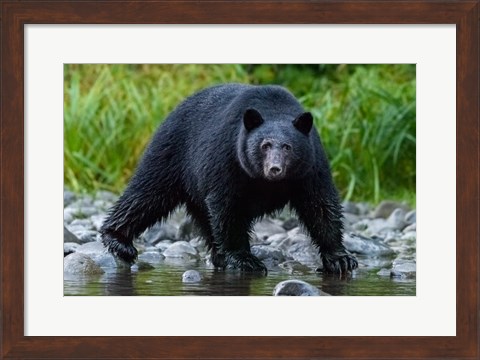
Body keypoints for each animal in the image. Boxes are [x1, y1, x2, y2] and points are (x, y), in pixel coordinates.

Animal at [100, 84, 356, 274]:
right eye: (264, 145)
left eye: (288, 147)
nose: (275, 169)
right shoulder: (228, 158)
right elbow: (227, 206)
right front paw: (245, 259)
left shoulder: (311, 167)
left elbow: (320, 206)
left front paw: (340, 259)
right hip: (171, 152)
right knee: (147, 193)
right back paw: (118, 240)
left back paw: (218, 255)